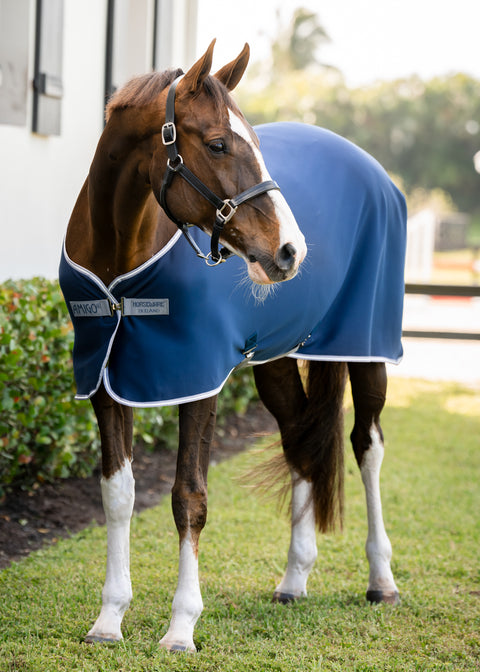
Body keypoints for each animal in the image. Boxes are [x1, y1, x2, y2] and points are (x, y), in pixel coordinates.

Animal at [60, 40, 406, 652]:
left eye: (257, 144)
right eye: (218, 143)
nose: (291, 250)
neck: (119, 257)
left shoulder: (196, 375)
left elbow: (188, 497)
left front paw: (180, 626)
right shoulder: (106, 379)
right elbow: (118, 494)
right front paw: (109, 618)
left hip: (368, 350)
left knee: (367, 445)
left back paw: (381, 579)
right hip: (277, 361)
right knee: (300, 441)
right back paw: (293, 579)